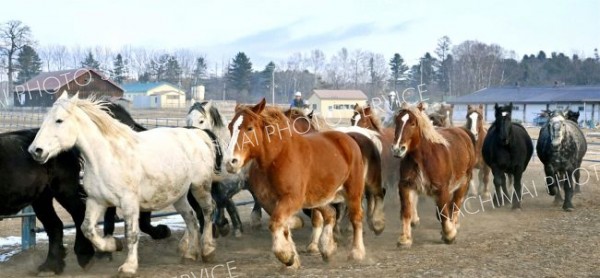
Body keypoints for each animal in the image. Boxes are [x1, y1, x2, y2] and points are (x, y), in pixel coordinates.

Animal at [28, 94, 220, 278]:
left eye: (59, 120)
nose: (35, 151)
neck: (107, 157)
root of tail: (199, 135)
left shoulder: (129, 203)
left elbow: (132, 234)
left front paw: (129, 267)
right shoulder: (96, 201)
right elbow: (88, 228)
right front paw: (113, 244)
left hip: (199, 187)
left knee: (208, 211)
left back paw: (208, 250)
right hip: (179, 195)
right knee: (191, 218)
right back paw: (190, 254)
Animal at [225, 99, 366, 268]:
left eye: (250, 128)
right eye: (230, 127)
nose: (230, 162)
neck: (278, 157)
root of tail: (348, 139)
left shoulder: (292, 198)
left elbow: (276, 223)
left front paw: (286, 256)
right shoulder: (270, 201)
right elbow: (282, 225)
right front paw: (292, 257)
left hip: (353, 191)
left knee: (356, 217)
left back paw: (357, 253)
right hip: (317, 197)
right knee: (330, 213)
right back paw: (327, 248)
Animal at [392, 102, 476, 245]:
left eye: (413, 123)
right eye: (397, 121)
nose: (398, 149)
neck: (423, 158)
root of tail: (462, 132)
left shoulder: (442, 189)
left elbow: (444, 212)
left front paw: (449, 234)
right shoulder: (405, 185)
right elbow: (406, 211)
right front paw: (405, 238)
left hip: (464, 182)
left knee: (456, 204)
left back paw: (453, 226)